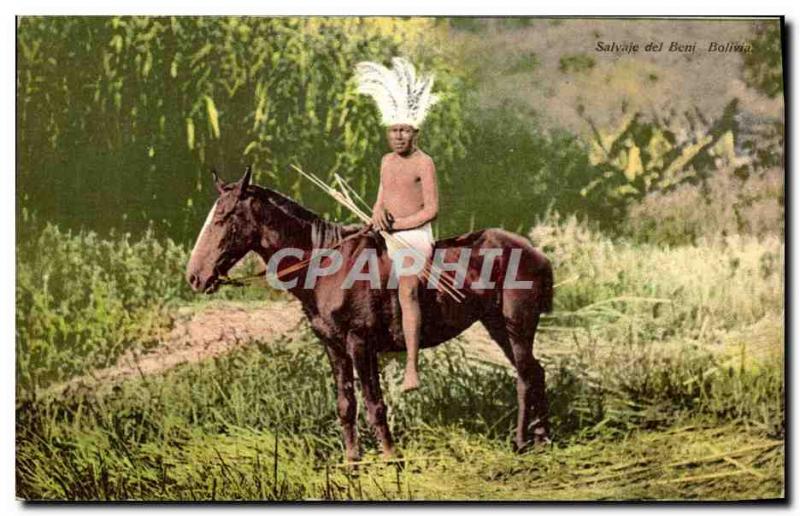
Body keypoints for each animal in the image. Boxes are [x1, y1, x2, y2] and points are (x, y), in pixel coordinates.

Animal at [184, 167, 552, 462]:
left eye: (222, 217)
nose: (194, 276)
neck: (327, 266)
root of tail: (534, 252)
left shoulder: (360, 344)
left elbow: (374, 404)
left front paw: (390, 457)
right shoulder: (334, 347)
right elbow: (346, 404)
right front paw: (352, 461)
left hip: (516, 327)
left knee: (525, 376)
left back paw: (521, 442)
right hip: (497, 326)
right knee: (536, 373)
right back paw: (542, 438)